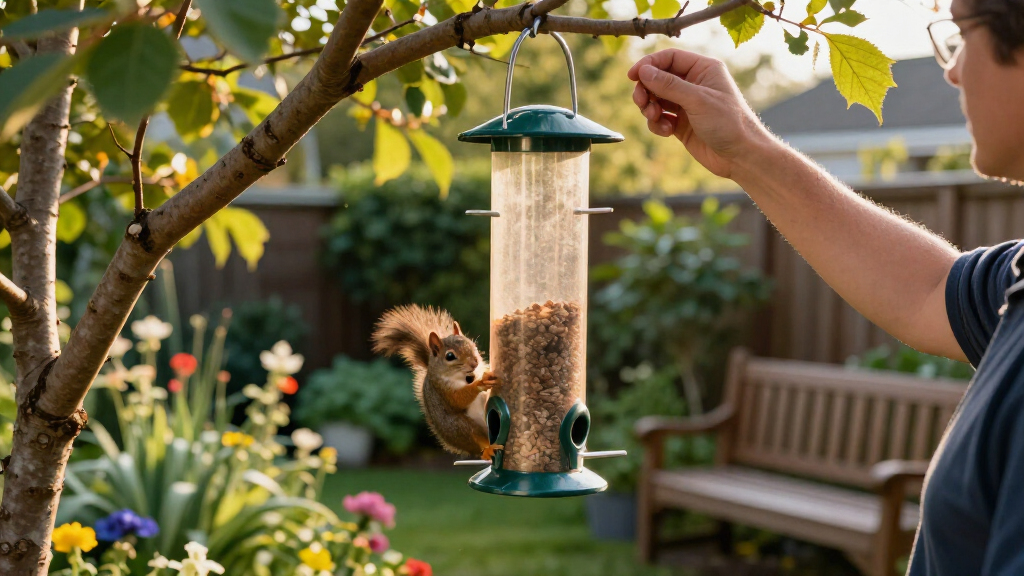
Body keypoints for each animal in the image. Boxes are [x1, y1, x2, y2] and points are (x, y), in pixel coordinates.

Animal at [372, 304, 503, 460]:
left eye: (473, 345)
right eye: (450, 356)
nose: (474, 363)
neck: (465, 376)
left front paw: (486, 372)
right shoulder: (442, 390)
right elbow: (458, 399)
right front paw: (480, 383)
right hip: (459, 427)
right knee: (476, 439)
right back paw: (488, 450)